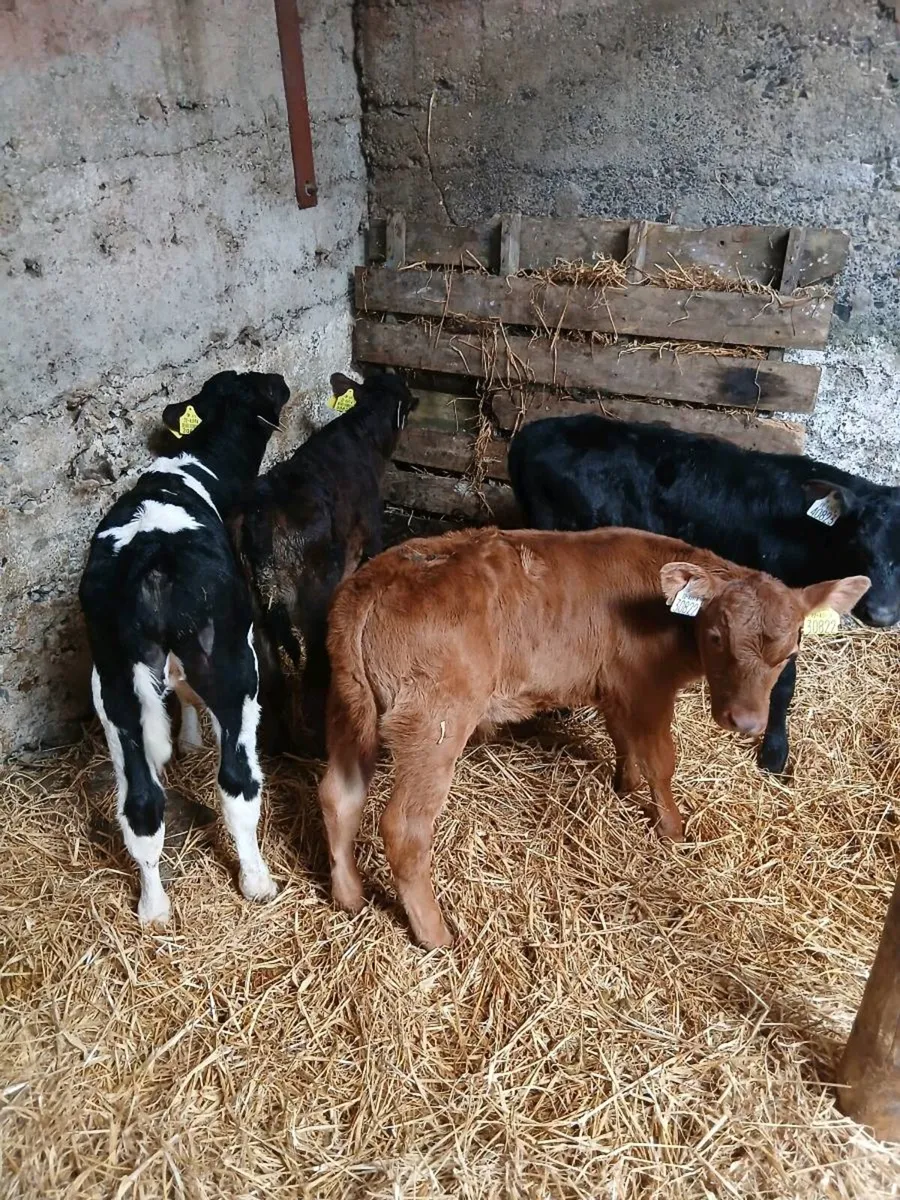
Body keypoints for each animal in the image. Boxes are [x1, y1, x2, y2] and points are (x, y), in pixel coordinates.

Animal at [79, 370, 290, 927]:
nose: (280, 381)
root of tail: (152, 558)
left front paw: (187, 740)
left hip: (113, 687)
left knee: (142, 806)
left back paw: (153, 908)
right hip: (234, 666)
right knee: (238, 785)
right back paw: (257, 881)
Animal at [231, 371, 417, 755]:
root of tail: (258, 513)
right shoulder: (369, 533)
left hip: (255, 612)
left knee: (270, 677)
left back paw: (278, 745)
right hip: (311, 597)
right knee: (312, 668)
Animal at [318, 525, 869, 948]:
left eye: (790, 649)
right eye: (716, 636)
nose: (747, 722)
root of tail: (376, 579)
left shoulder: (616, 686)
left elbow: (623, 740)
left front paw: (624, 785)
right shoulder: (647, 687)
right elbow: (661, 759)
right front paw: (673, 828)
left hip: (348, 708)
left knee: (338, 795)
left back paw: (349, 897)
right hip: (435, 723)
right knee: (404, 827)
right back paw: (435, 934)